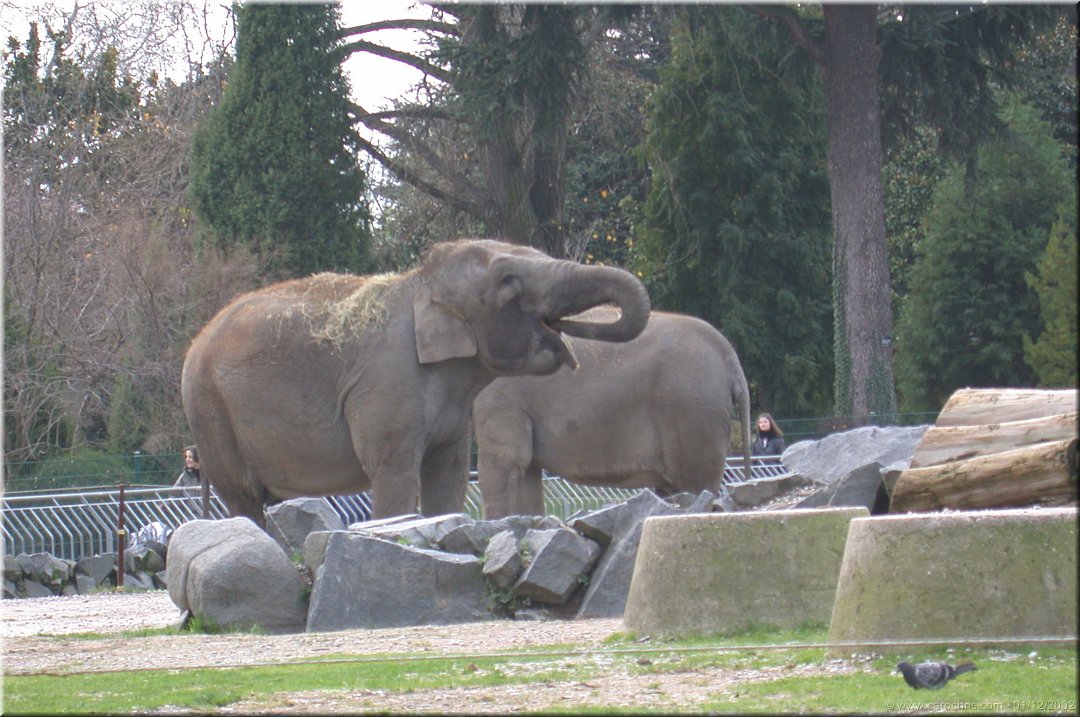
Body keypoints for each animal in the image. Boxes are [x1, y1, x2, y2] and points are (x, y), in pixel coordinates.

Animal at [181, 239, 650, 526]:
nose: (572, 334)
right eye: (508, 281)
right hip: (209, 410)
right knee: (244, 498)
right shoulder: (388, 384)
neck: (420, 283)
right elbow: (394, 473)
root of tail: (195, 340)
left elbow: (448, 477)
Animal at [473, 309, 752, 519]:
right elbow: (526, 469)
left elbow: (506, 461)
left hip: (691, 411)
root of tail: (729, 357)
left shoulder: (500, 396)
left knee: (696, 485)